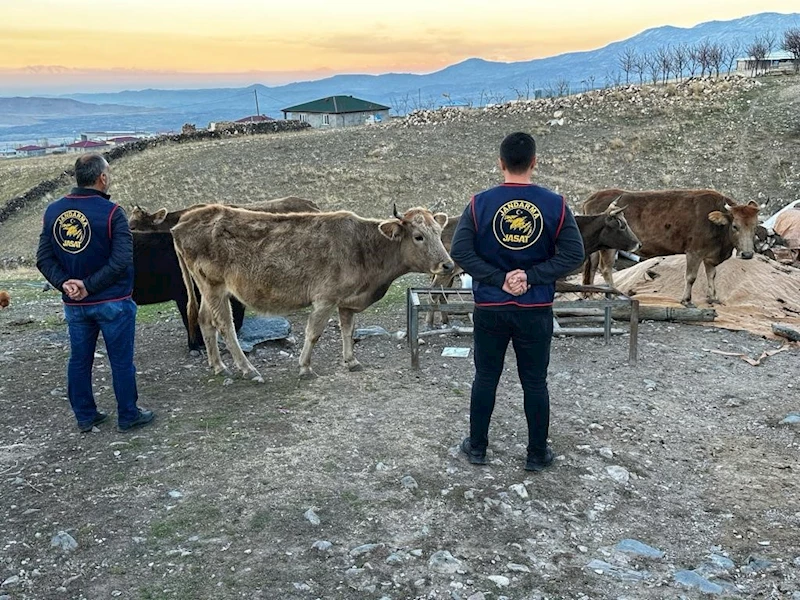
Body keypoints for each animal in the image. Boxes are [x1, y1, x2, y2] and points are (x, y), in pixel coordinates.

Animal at [172, 204, 454, 378]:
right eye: (418, 236)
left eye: (438, 232)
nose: (448, 264)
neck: (364, 248)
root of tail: (183, 221)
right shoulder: (325, 298)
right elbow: (314, 333)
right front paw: (305, 367)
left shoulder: (347, 300)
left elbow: (348, 330)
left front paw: (351, 361)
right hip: (214, 286)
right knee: (224, 325)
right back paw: (248, 369)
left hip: (207, 288)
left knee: (205, 320)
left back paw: (218, 366)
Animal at [580, 190, 756, 308]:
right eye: (735, 226)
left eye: (755, 226)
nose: (747, 254)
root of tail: (592, 198)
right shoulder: (694, 252)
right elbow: (691, 277)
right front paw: (687, 300)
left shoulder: (710, 255)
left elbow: (712, 275)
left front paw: (714, 298)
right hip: (610, 246)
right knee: (605, 268)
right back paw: (613, 295)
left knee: (592, 266)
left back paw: (588, 294)